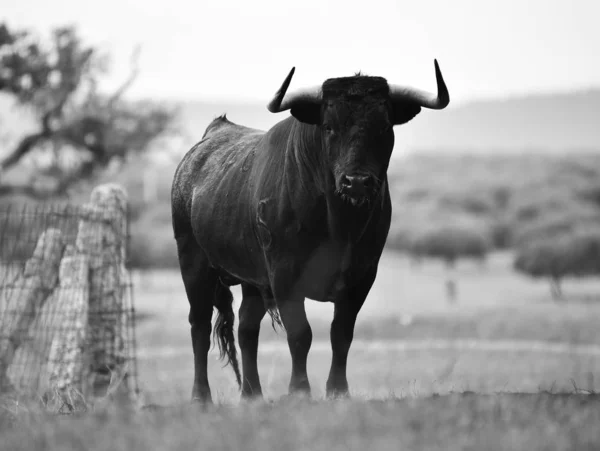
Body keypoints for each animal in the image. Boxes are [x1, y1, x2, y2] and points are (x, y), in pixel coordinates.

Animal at [171, 60, 448, 402]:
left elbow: (341, 333)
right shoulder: (285, 276)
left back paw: (252, 394)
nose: (356, 181)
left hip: (252, 280)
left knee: (247, 329)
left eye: (384, 126)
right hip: (193, 262)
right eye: (328, 126)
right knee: (198, 325)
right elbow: (300, 333)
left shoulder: (361, 276)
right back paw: (201, 396)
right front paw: (299, 390)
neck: (339, 225)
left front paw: (338, 390)